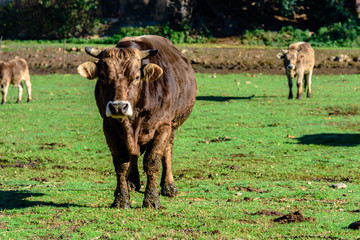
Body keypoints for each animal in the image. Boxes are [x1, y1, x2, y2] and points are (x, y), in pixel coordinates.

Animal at [77, 35, 198, 208]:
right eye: (103, 76)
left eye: (136, 77)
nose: (118, 107)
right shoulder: (109, 128)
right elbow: (121, 163)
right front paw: (121, 199)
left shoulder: (163, 126)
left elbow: (152, 161)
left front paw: (152, 199)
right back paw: (132, 182)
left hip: (173, 125)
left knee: (167, 151)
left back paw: (168, 186)